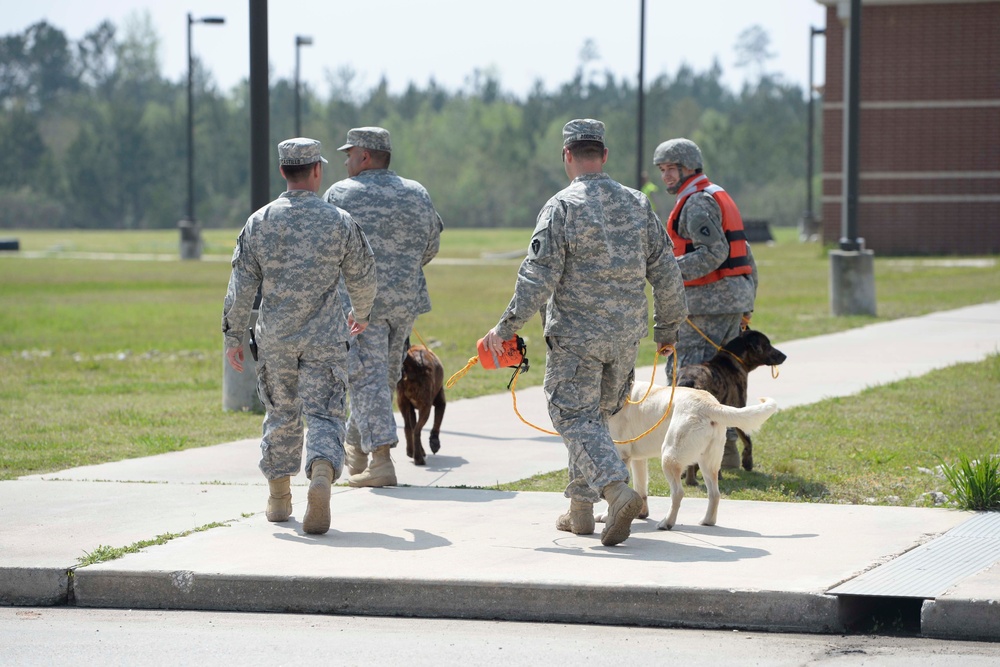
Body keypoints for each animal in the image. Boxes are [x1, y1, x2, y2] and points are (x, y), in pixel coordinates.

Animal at [600, 380, 780, 532]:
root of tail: (709, 404)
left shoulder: (621, 456)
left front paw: (607, 515)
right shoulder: (638, 459)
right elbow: (640, 489)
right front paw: (641, 513)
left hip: (669, 457)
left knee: (678, 493)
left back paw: (667, 523)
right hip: (708, 463)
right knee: (715, 494)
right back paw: (707, 521)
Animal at [676, 326, 784, 482]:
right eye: (767, 345)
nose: (784, 356)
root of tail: (689, 379)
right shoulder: (739, 409)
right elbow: (747, 440)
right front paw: (747, 462)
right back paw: (692, 481)